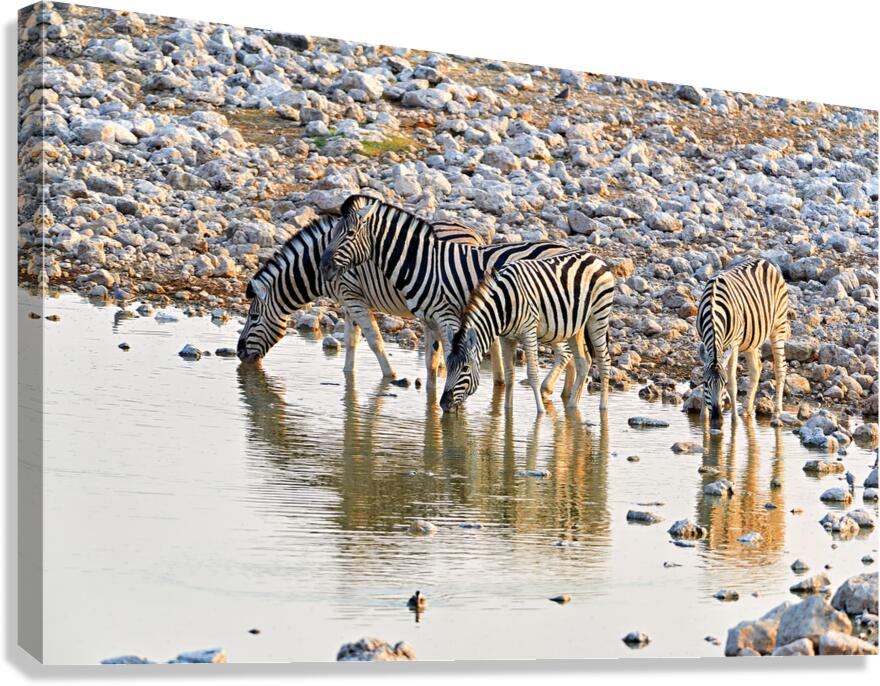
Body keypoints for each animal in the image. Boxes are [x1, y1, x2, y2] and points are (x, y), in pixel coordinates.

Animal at [237, 214, 486, 383]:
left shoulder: (354, 297)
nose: (239, 353)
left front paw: (389, 375)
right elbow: (351, 340)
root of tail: (475, 236)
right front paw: (347, 374)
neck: (316, 267)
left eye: (255, 317)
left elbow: (374, 339)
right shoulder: (348, 301)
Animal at [319, 194, 577, 396]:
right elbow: (431, 364)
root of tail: (566, 248)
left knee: (566, 354)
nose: (324, 265)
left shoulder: (447, 316)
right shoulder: (429, 319)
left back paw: (548, 390)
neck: (424, 263)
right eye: (334, 233)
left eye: (350, 233)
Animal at [438, 249, 615, 415]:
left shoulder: (529, 331)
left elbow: (533, 374)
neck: (504, 305)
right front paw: (507, 411)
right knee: (583, 363)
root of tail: (595, 256)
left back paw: (603, 408)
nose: (444, 404)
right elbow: (509, 375)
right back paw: (571, 408)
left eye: (465, 368)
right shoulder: (506, 338)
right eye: (447, 365)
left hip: (598, 317)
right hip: (575, 326)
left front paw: (540, 413)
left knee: (604, 362)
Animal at [696, 257, 790, 422]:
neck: (713, 308)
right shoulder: (704, 340)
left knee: (780, 368)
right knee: (756, 369)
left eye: (724, 383)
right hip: (752, 339)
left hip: (778, 326)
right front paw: (703, 418)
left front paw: (734, 420)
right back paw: (746, 409)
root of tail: (765, 261)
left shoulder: (734, 344)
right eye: (705, 383)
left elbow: (734, 383)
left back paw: (777, 412)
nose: (717, 417)